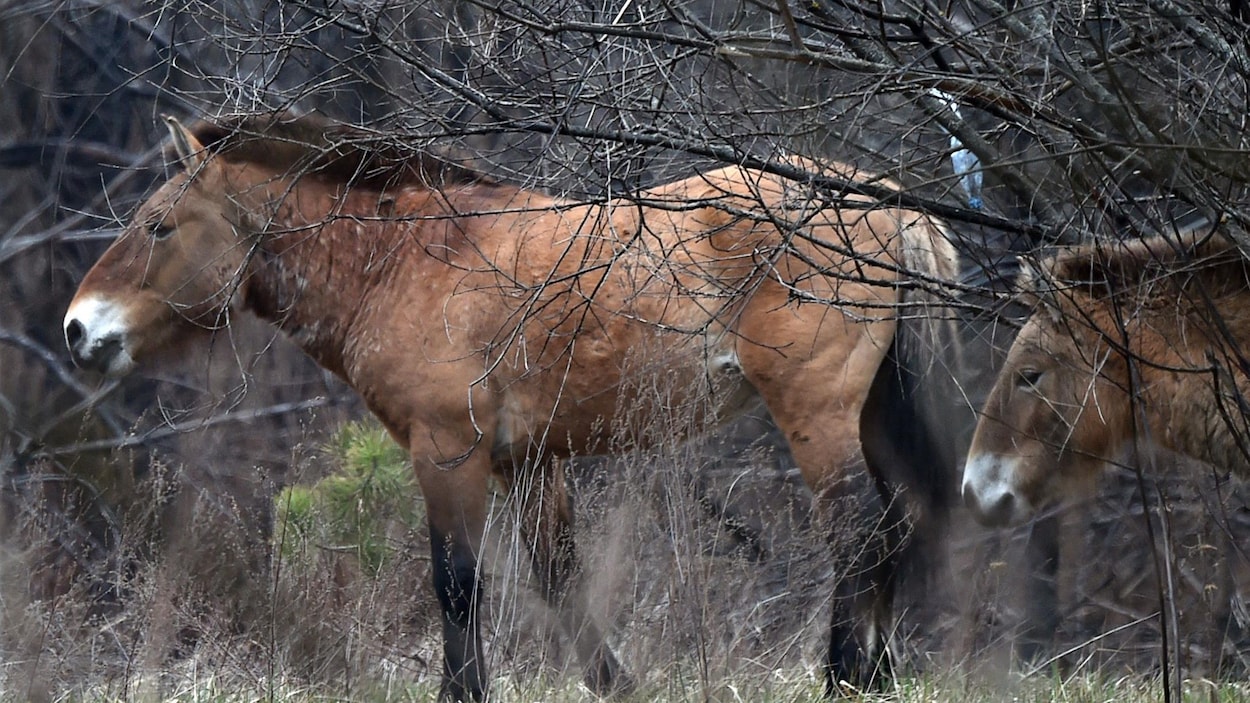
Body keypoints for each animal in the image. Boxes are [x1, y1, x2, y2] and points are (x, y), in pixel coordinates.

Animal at [65, 113, 955, 695]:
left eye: (158, 225)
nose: (79, 328)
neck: (402, 259)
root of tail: (889, 201)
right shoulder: (528, 462)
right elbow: (559, 580)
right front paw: (617, 684)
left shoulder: (448, 451)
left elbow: (458, 582)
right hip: (870, 411)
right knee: (897, 520)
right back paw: (876, 676)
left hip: (818, 413)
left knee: (858, 529)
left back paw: (843, 676)